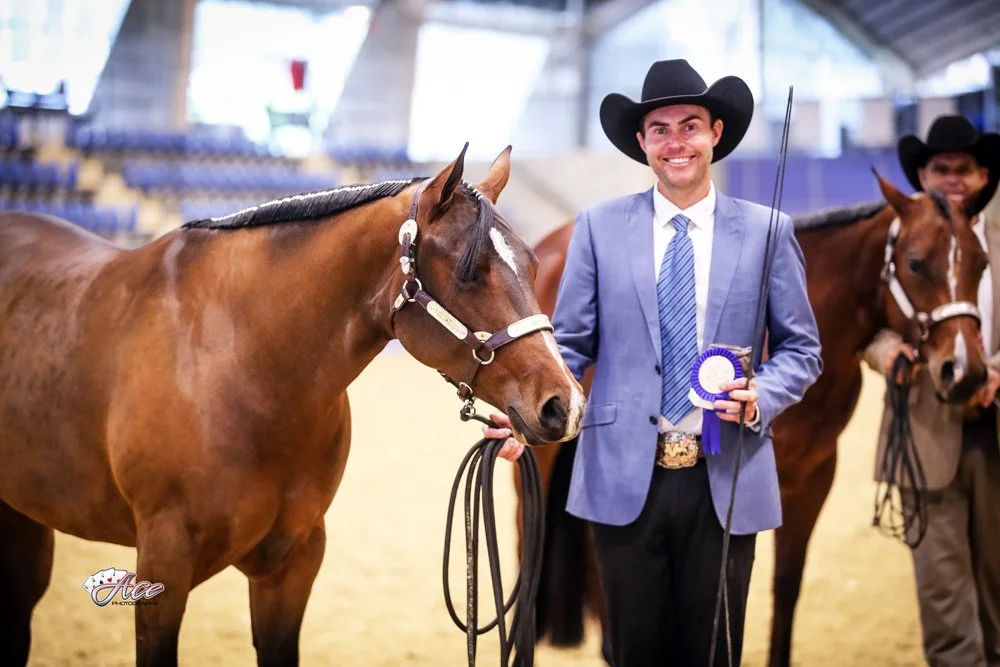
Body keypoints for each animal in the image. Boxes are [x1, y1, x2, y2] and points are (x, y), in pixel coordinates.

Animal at [0, 144, 586, 667]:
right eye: (469, 271)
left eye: (534, 265)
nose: (565, 404)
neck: (241, 364)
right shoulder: (162, 566)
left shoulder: (293, 563)